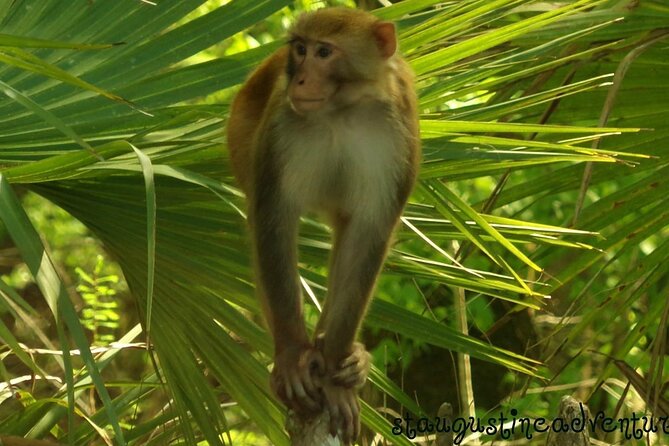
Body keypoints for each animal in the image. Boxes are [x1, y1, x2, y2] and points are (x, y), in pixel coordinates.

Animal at [227, 6, 420, 442]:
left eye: (324, 52)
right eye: (300, 49)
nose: (299, 78)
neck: (342, 109)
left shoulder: (396, 135)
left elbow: (369, 234)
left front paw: (334, 375)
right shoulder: (281, 127)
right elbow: (274, 218)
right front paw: (293, 356)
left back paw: (343, 355)